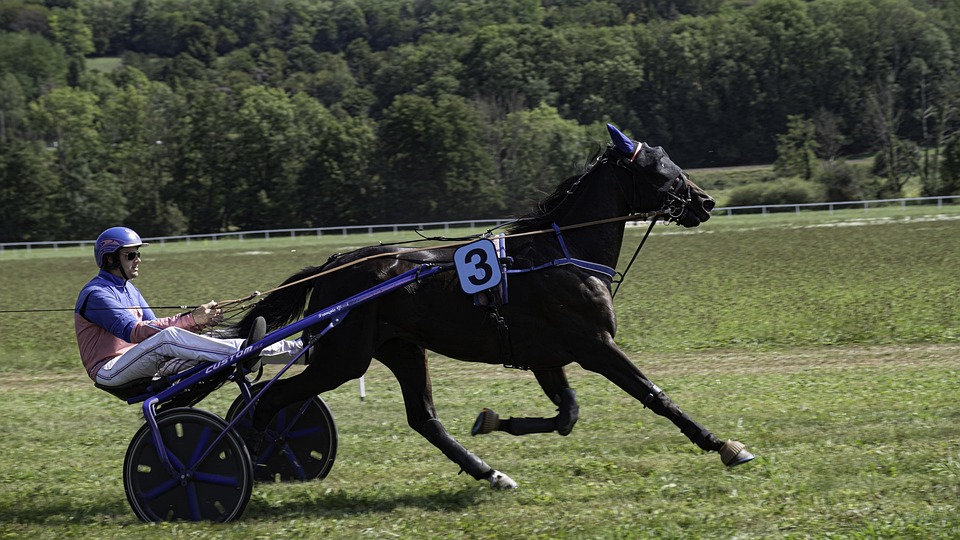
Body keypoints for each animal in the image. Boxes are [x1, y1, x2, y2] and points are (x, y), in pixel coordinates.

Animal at [233, 124, 754, 489]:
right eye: (660, 168)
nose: (706, 202)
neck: (562, 250)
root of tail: (335, 263)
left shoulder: (547, 355)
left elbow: (567, 416)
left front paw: (493, 421)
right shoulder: (595, 345)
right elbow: (655, 396)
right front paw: (722, 444)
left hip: (402, 349)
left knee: (424, 418)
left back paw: (491, 474)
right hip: (343, 358)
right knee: (271, 398)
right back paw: (253, 450)